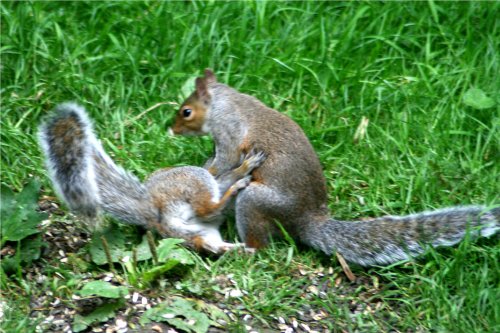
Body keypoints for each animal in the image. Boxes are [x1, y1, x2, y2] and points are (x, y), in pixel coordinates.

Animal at [38, 102, 266, 253]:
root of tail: (154, 214)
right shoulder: (213, 176)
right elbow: (229, 174)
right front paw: (245, 166)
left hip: (198, 231)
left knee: (210, 243)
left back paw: (237, 248)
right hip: (193, 181)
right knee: (208, 209)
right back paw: (237, 188)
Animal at [171, 69, 496, 264]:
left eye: (186, 112)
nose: (171, 130)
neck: (223, 102)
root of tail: (307, 221)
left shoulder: (229, 132)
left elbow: (224, 161)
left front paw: (206, 174)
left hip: (255, 200)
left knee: (261, 244)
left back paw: (244, 251)